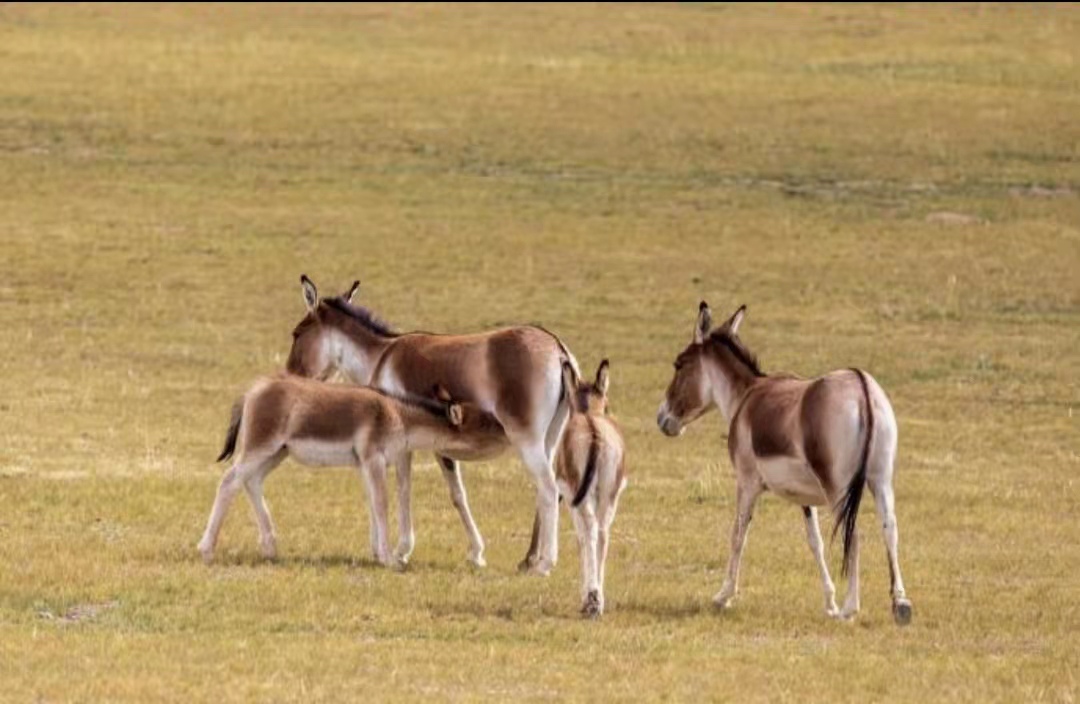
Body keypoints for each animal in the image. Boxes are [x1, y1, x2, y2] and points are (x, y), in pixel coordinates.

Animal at [197, 374, 507, 567]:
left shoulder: (366, 465)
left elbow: (372, 503)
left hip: (276, 453)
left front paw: (377, 552)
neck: (398, 415)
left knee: (252, 483)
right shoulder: (374, 459)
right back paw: (207, 548)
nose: (508, 430)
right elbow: (381, 504)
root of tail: (253, 390)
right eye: (486, 422)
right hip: (260, 447)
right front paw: (388, 558)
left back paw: (270, 547)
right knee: (229, 482)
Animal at [285, 275, 578, 575]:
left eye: (296, 333)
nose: (289, 377)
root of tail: (557, 348)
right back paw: (528, 559)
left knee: (549, 489)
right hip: (549, 439)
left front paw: (400, 551)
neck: (381, 357)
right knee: (545, 491)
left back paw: (544, 564)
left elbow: (402, 490)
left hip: (526, 439)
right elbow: (457, 494)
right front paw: (476, 553)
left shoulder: (401, 443)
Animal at [520, 360, 627, 618]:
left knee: (590, 530)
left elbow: (580, 538)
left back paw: (592, 600)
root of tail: (594, 432)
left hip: (582, 498)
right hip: (607, 497)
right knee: (603, 533)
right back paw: (597, 599)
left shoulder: (570, 497)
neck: (589, 414)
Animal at [657, 302, 912, 625]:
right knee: (890, 528)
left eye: (679, 364)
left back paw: (850, 608)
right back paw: (900, 604)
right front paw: (829, 602)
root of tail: (861, 386)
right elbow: (815, 542)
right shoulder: (805, 498)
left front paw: (723, 596)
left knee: (853, 536)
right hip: (881, 480)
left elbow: (738, 534)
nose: (662, 418)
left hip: (839, 490)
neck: (746, 396)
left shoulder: (747, 482)